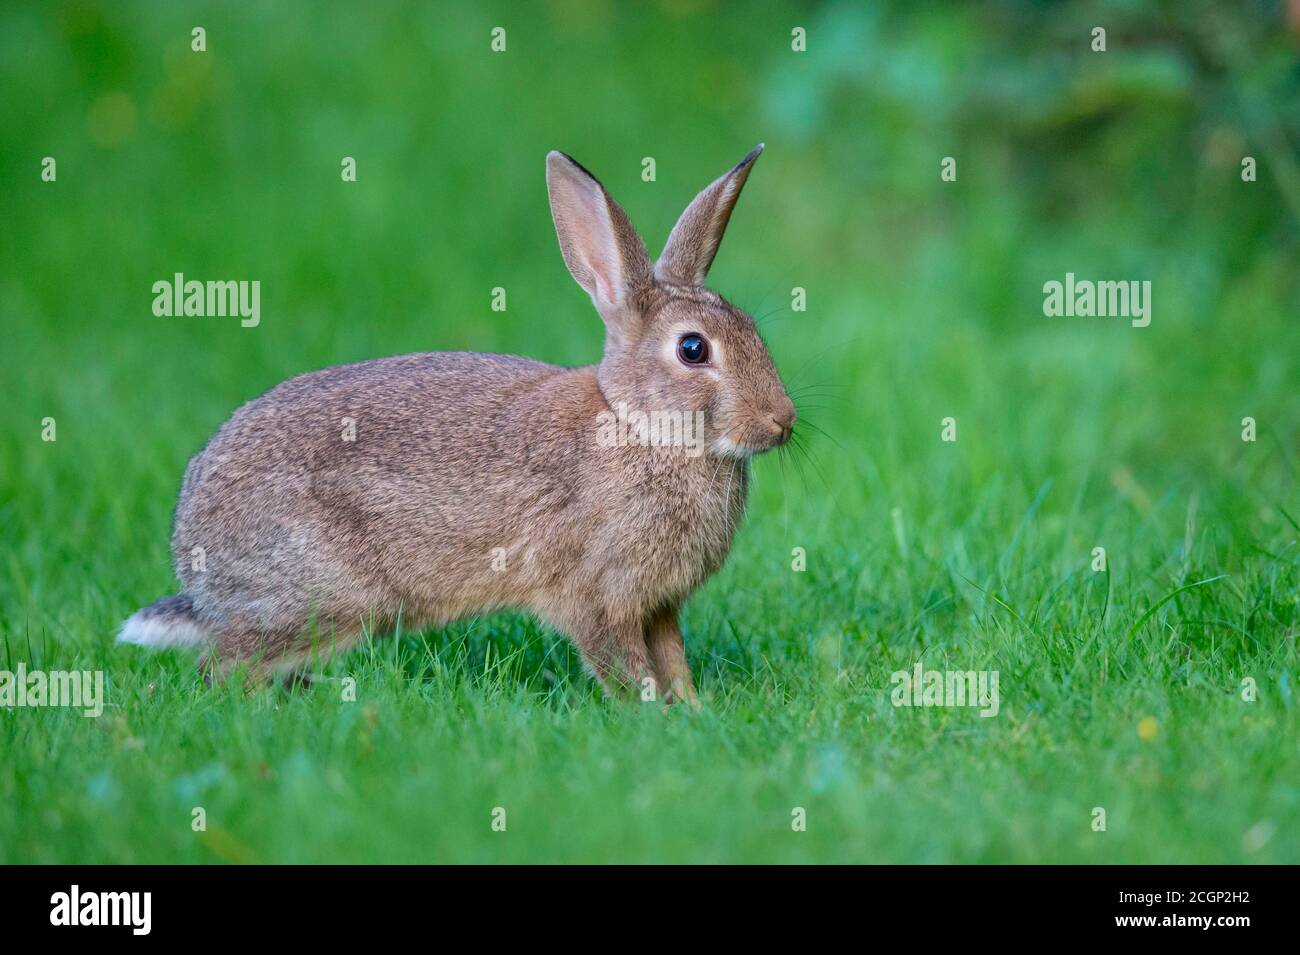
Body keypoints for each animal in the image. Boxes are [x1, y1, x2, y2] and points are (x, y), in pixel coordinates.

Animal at [119, 145, 790, 706]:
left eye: (751, 327)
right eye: (693, 350)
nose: (782, 422)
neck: (642, 427)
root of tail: (193, 557)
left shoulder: (659, 606)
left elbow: (673, 660)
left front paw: (694, 711)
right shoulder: (597, 595)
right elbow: (625, 666)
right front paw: (651, 716)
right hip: (324, 597)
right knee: (223, 667)